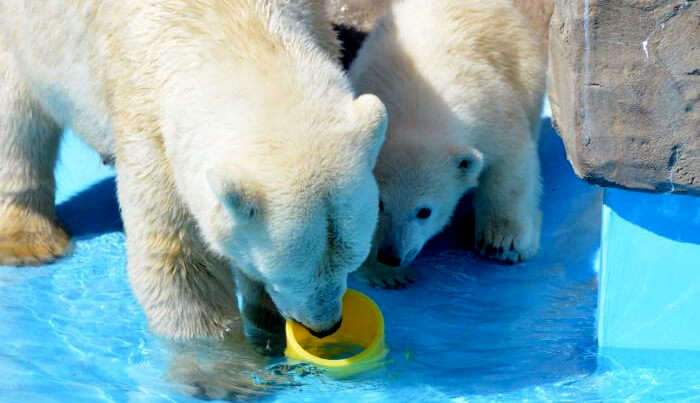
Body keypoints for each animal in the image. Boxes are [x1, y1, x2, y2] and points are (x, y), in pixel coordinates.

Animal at [0, 0, 388, 340]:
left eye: (350, 262)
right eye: (285, 273)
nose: (325, 326)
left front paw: (267, 326)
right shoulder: (151, 127)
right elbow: (180, 264)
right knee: (17, 118)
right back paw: (29, 240)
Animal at [350, 0, 548, 288]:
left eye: (424, 212)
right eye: (380, 204)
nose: (391, 256)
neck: (416, 109)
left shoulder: (491, 114)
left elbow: (510, 164)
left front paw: (503, 242)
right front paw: (385, 274)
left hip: (523, 67)